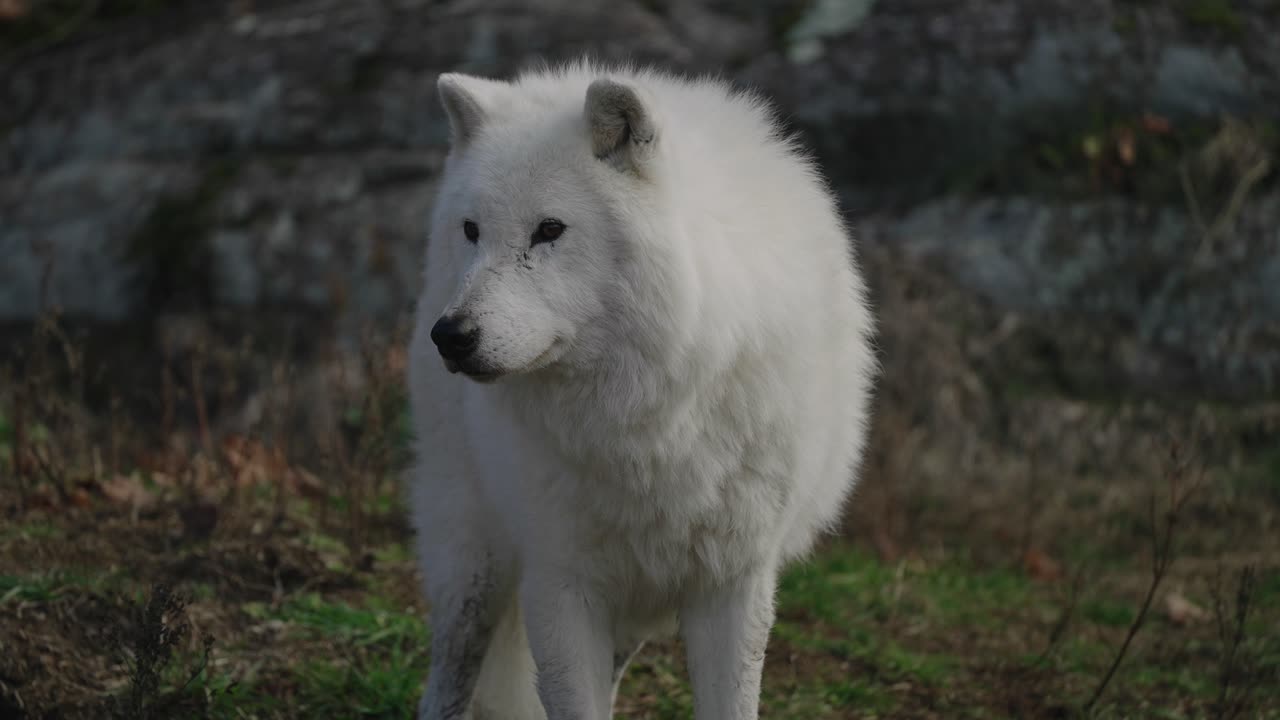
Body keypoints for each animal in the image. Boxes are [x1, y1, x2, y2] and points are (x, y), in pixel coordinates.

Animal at [407, 61, 876, 720]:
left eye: (549, 230)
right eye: (472, 230)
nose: (450, 337)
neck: (648, 411)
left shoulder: (733, 583)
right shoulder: (560, 578)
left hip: (634, 605)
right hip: (475, 556)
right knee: (449, 675)